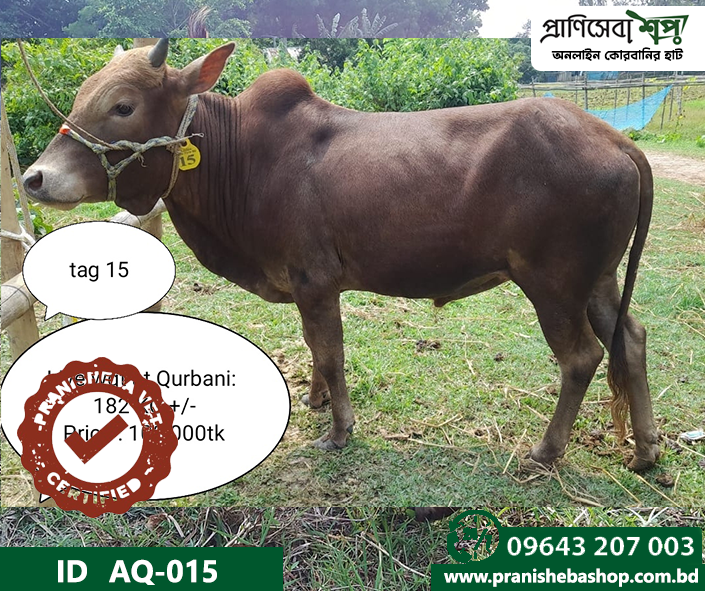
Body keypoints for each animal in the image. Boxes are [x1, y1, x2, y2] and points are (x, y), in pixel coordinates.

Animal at [22, 40, 660, 472]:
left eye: (123, 106)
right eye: (81, 95)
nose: (34, 178)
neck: (241, 158)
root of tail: (614, 139)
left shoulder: (315, 279)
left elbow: (329, 351)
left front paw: (338, 430)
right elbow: (315, 350)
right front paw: (315, 400)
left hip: (554, 283)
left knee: (582, 356)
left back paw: (547, 450)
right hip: (598, 280)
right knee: (630, 338)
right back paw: (646, 450)